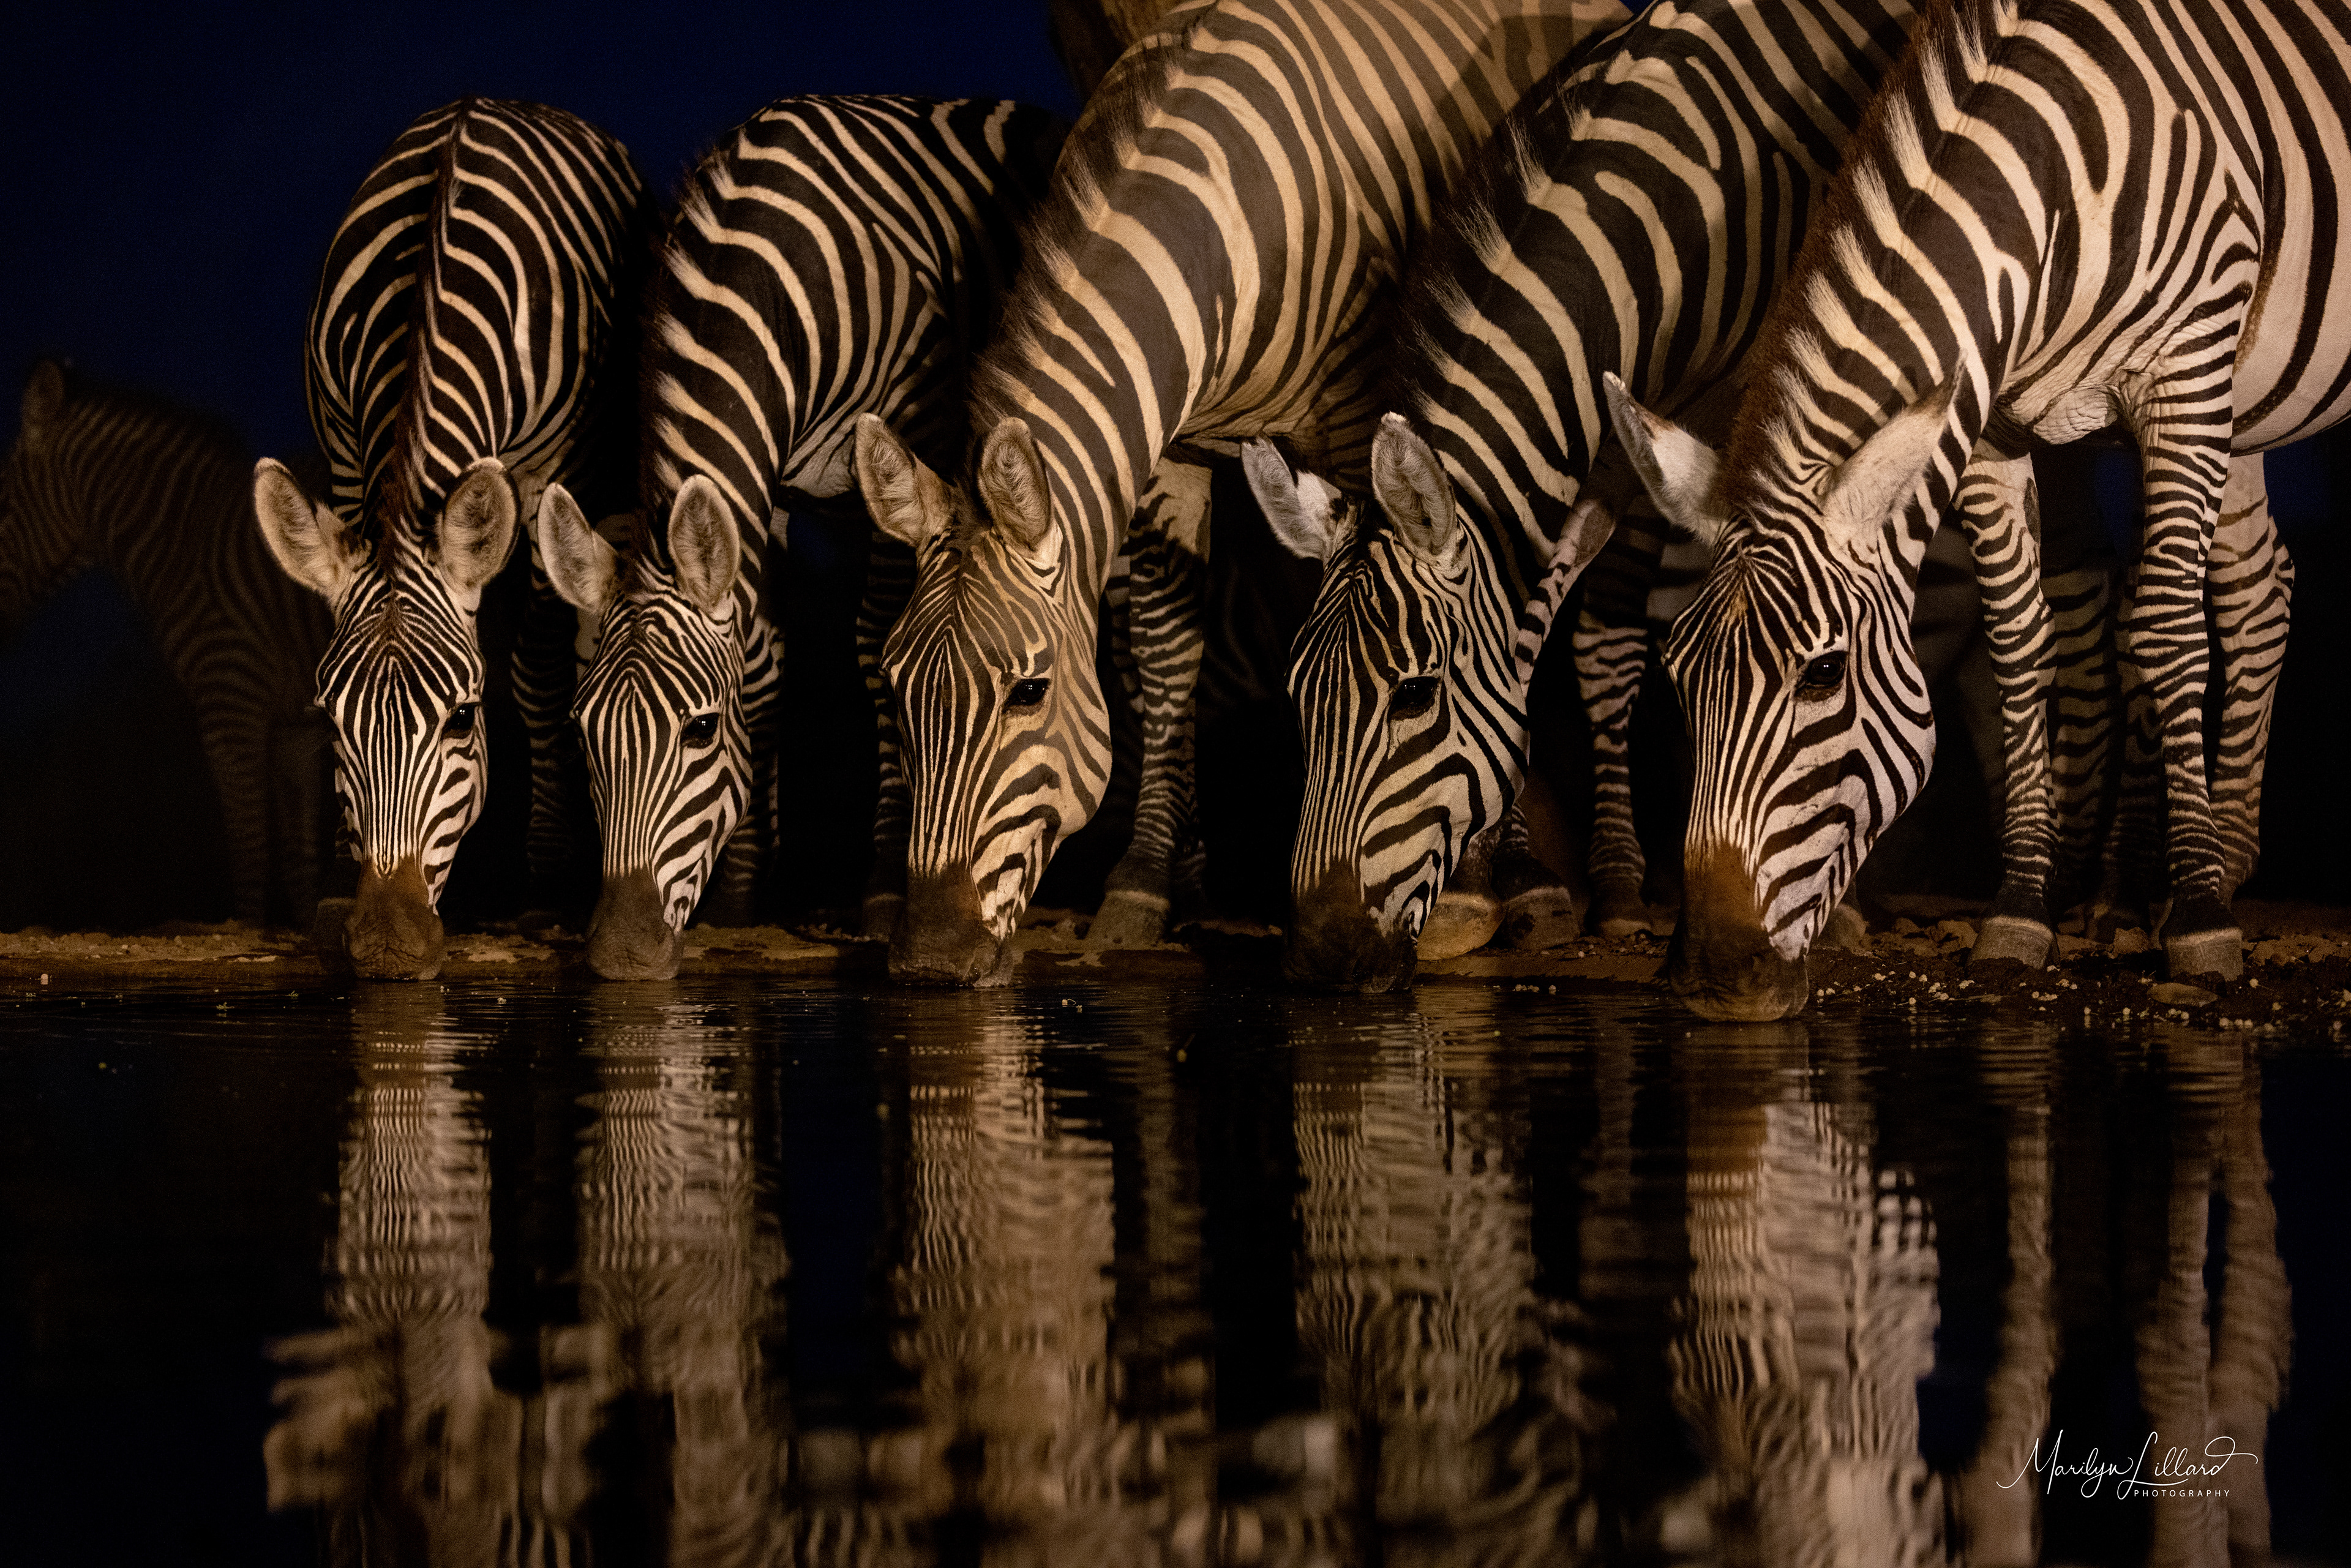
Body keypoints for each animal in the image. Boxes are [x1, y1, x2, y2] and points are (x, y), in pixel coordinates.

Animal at [2, 361, 334, 928]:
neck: (184, 545)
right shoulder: (296, 723)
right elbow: (300, 860)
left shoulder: (229, 700)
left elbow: (250, 850)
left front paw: (247, 933)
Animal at [251, 98, 655, 980]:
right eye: (331, 723)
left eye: (464, 719)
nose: (388, 945)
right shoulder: (344, 448)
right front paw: (332, 891)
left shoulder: (549, 465)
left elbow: (537, 670)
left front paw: (548, 884)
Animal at [535, 96, 1066, 981]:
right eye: (583, 731)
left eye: (699, 730)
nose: (621, 956)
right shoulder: (767, 489)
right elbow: (760, 661)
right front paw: (743, 892)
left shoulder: (906, 443)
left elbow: (872, 646)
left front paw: (882, 888)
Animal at [851, 0, 1632, 986]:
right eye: (895, 686)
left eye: (1028, 692)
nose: (930, 958)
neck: (1222, 222)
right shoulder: (1170, 445)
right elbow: (1165, 649)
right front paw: (1148, 881)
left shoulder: (1365, 416)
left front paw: (1459, 892)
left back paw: (1561, 886)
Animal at [1610, 0, 2340, 1016]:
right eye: (1678, 677)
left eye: (1823, 675)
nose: (1713, 977)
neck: (2053, 178)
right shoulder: (1992, 421)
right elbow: (2019, 645)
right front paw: (2023, 906)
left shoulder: (2184, 371)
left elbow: (2164, 629)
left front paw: (2198, 919)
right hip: (2247, 406)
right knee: (2258, 587)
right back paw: (2226, 859)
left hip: (2222, 390)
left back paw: (2208, 879)